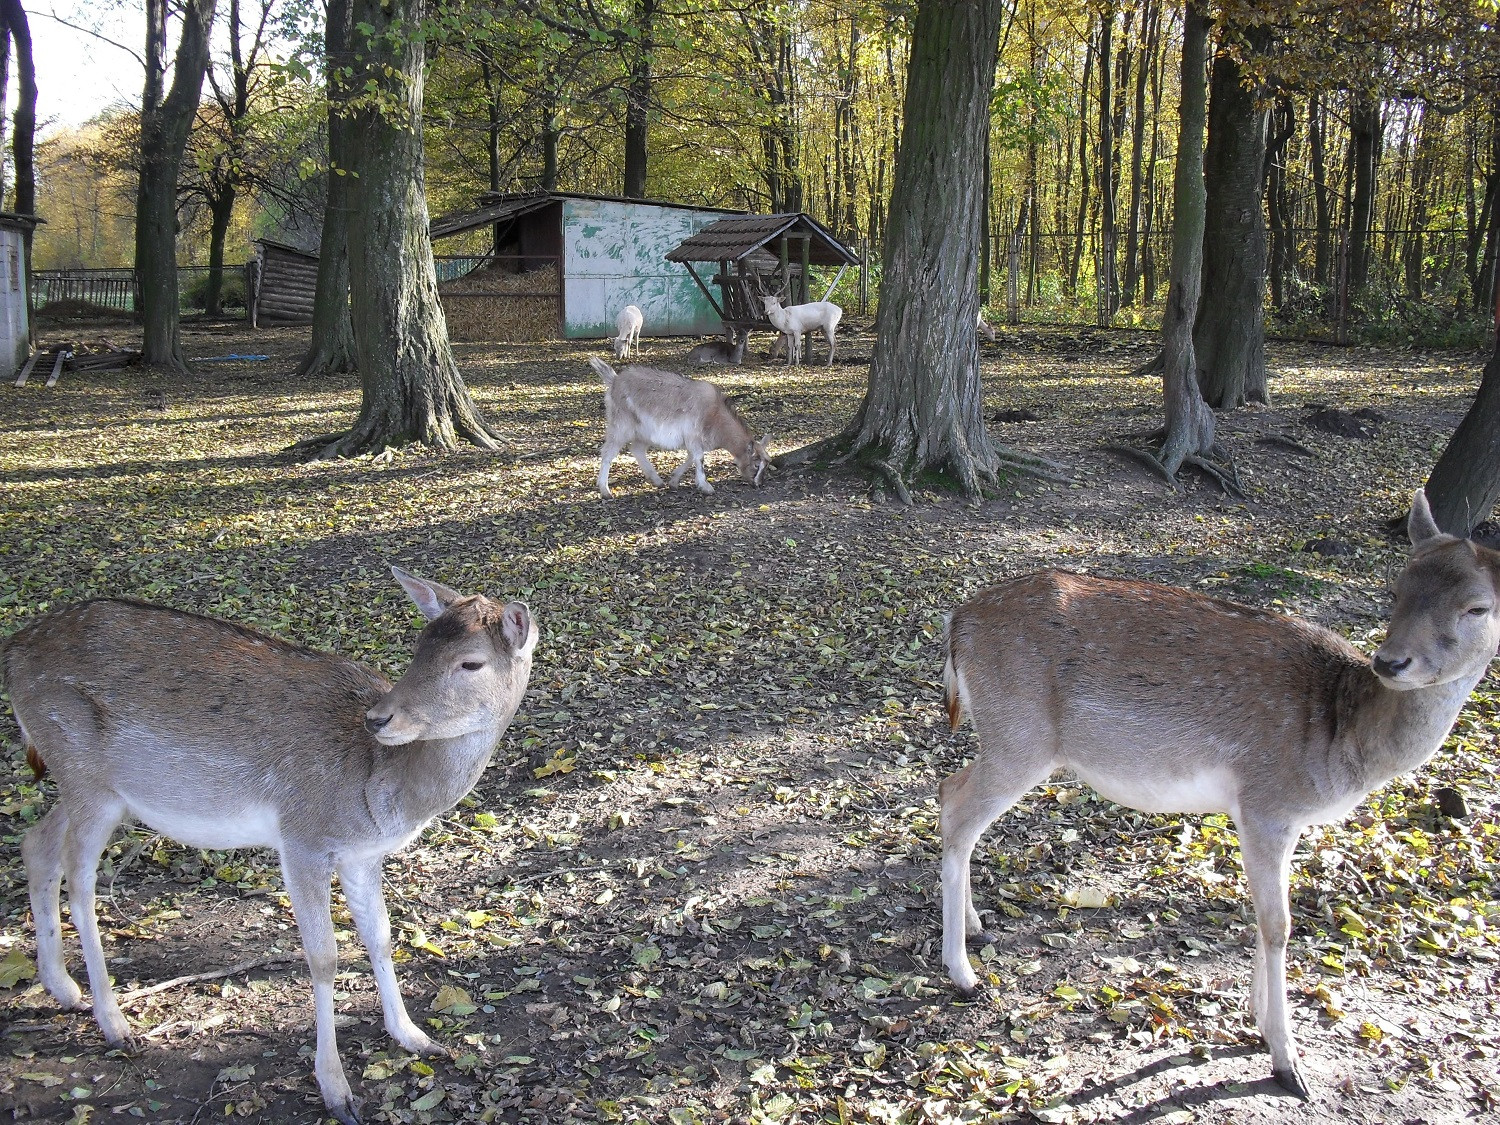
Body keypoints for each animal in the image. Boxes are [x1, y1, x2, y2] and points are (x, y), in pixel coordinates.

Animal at [4, 570, 538, 1125]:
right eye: (418, 646)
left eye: (470, 662)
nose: (379, 719)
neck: (382, 792)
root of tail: (12, 650)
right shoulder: (302, 838)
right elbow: (324, 957)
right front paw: (337, 1090)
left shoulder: (361, 854)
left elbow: (381, 936)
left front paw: (415, 1036)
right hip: (84, 775)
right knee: (79, 877)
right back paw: (114, 1024)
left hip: (92, 788)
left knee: (36, 843)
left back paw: (61, 987)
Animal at [589, 355, 770, 498]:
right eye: (756, 465)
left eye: (766, 465)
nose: (759, 484)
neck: (715, 414)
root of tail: (614, 380)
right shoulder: (693, 436)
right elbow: (699, 459)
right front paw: (706, 487)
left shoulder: (693, 441)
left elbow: (691, 458)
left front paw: (674, 481)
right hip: (621, 425)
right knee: (608, 452)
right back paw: (605, 491)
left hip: (643, 431)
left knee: (637, 450)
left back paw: (657, 481)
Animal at [938, 490, 1499, 1099]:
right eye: (1396, 588)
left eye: (1478, 608)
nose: (1391, 661)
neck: (1344, 741)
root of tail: (956, 621)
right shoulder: (1267, 803)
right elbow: (1279, 924)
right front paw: (1287, 1063)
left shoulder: (1279, 819)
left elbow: (1263, 915)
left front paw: (1258, 1024)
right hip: (1021, 737)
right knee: (959, 814)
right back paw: (963, 974)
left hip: (1005, 739)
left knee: (947, 792)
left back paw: (975, 923)